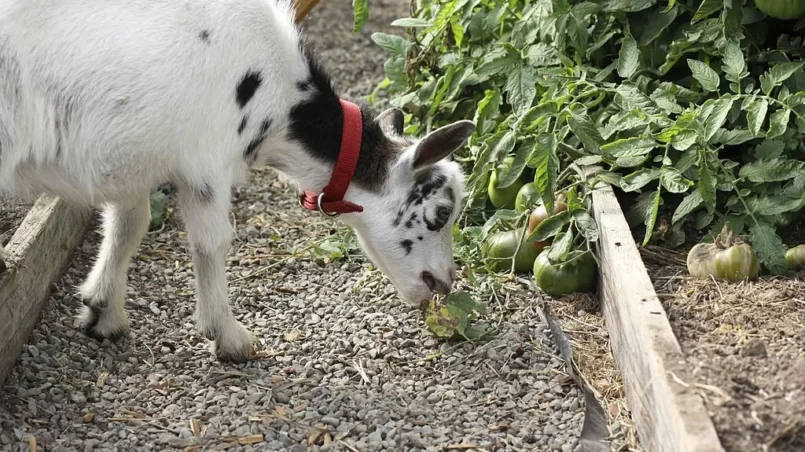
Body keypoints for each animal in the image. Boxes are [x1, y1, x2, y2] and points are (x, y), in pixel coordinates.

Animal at [0, 0, 474, 362]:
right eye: (441, 212)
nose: (446, 281)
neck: (279, 99)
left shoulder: (133, 156)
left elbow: (127, 225)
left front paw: (103, 312)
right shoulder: (206, 160)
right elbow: (213, 243)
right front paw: (229, 337)